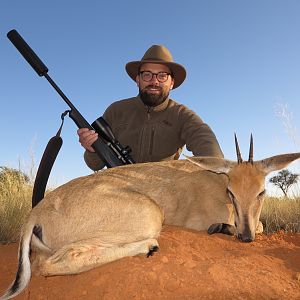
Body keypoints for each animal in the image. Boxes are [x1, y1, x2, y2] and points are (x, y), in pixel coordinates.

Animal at [1, 137, 300, 300]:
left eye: (261, 191)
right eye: (231, 192)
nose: (245, 238)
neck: (216, 182)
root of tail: (35, 214)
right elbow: (259, 225)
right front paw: (223, 228)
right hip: (150, 215)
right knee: (50, 264)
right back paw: (148, 246)